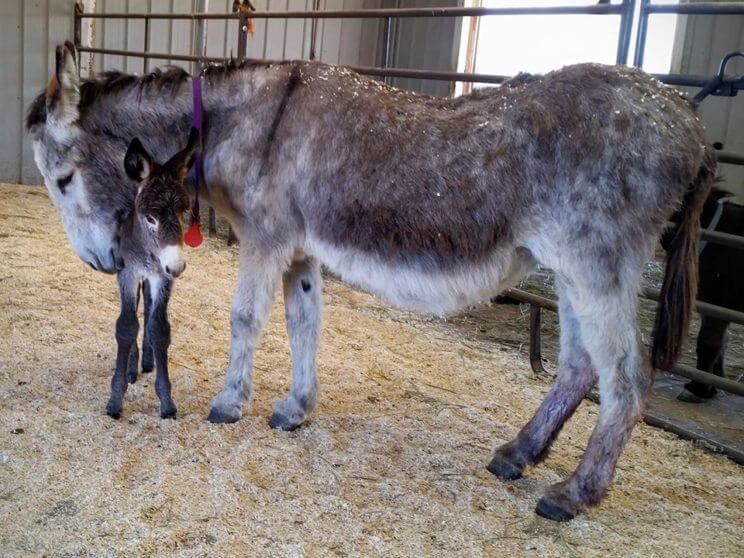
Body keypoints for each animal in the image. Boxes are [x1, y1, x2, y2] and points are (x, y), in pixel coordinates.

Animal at [106, 131, 198, 420]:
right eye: (150, 218)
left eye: (184, 212)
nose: (177, 266)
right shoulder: (128, 274)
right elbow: (126, 325)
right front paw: (115, 400)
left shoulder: (162, 278)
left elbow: (159, 328)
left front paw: (166, 402)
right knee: (136, 310)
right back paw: (132, 367)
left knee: (146, 309)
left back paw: (146, 360)